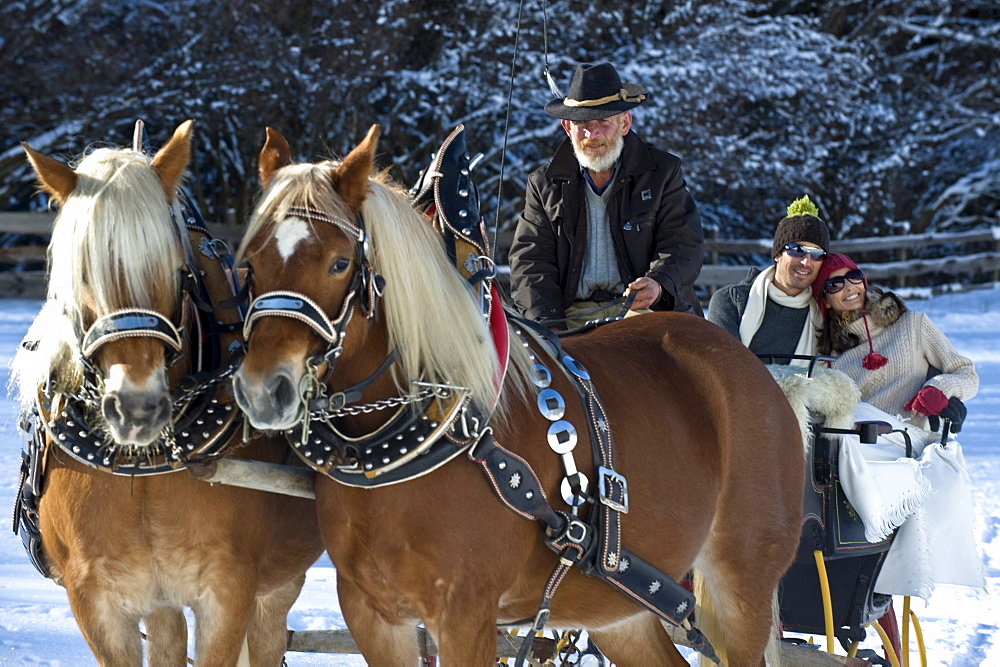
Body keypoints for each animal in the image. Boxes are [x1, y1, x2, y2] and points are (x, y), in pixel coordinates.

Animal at [12, 121, 324, 667]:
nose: (136, 408)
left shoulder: (228, 591)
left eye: (174, 266)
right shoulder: (96, 601)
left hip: (275, 587)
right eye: (80, 274)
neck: (143, 464)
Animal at [234, 126, 804, 667]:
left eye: (338, 263)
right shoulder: (371, 613)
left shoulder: (465, 614)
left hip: (743, 581)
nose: (264, 389)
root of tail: (750, 366)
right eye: (250, 265)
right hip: (621, 602)